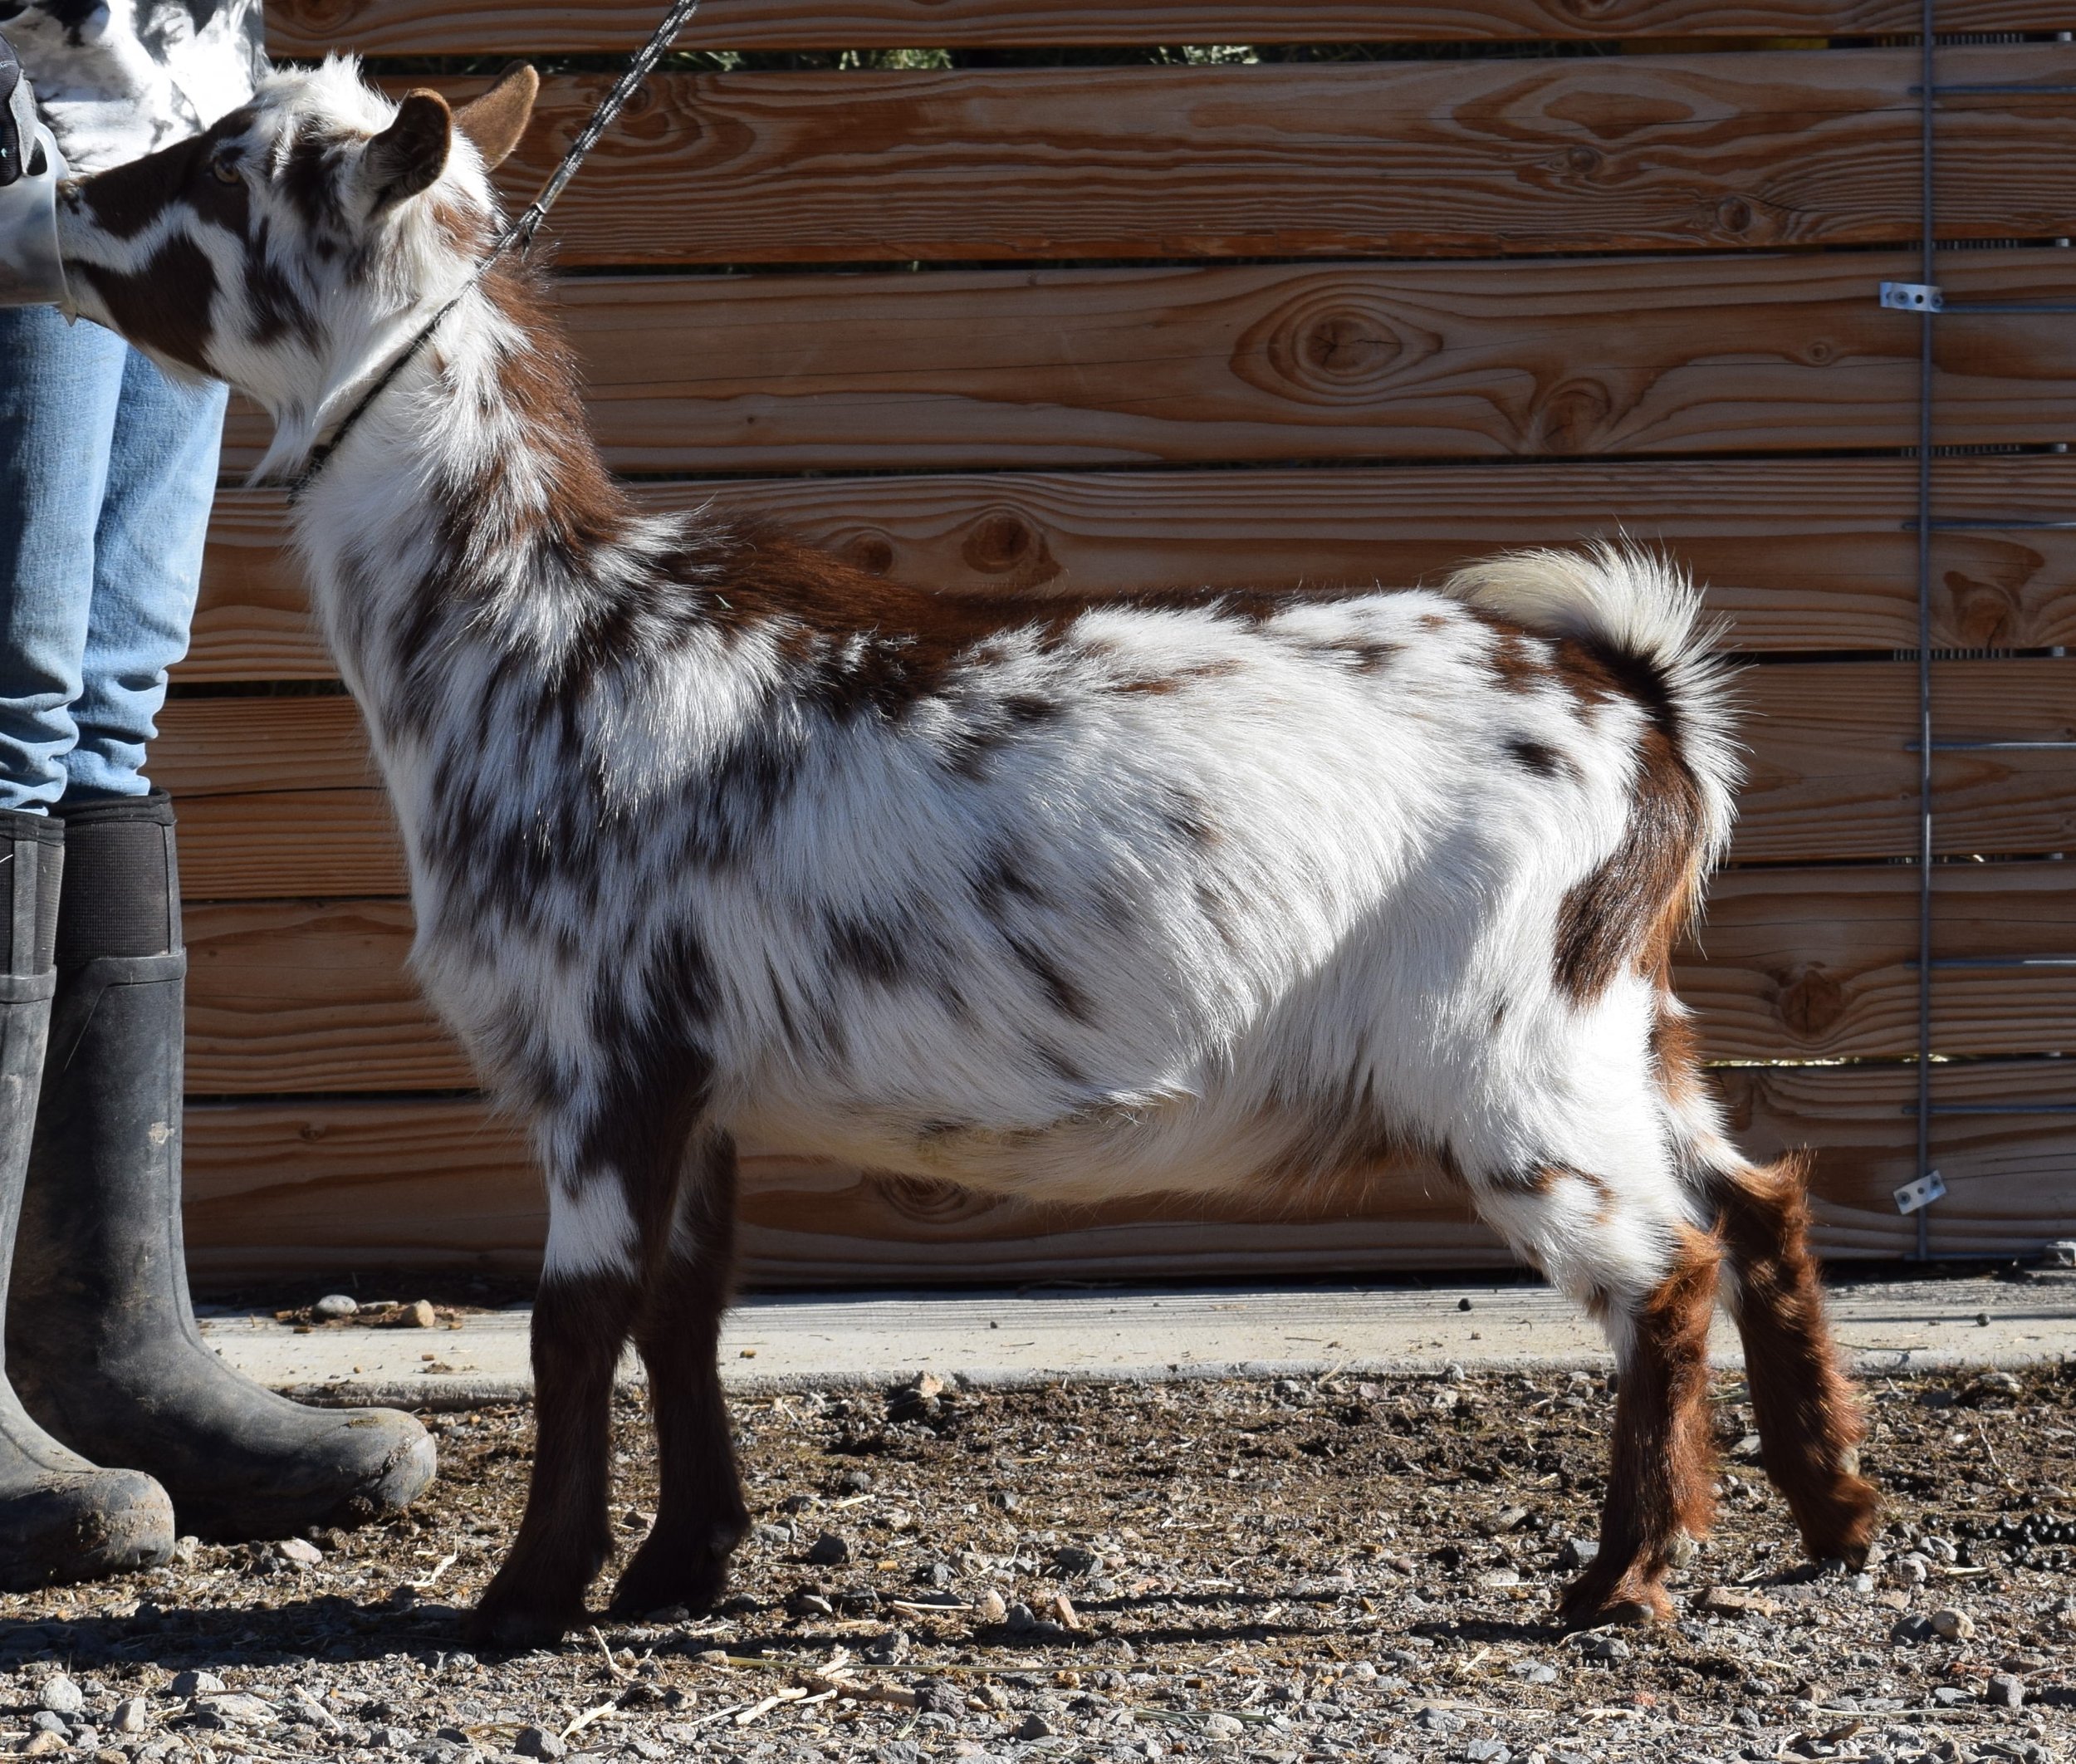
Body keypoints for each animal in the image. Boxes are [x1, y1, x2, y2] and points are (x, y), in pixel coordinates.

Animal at [61, 58, 1885, 1652]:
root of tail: (1637, 704)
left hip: (1498, 1047)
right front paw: (678, 1567)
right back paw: (1834, 1513)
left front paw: (526, 1594)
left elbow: (577, 1319)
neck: (541, 626)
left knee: (1664, 1265)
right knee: (1757, 1194)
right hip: (1613, 1015)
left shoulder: (604, 1049)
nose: (62, 196)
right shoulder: (699, 1078)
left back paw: (1625, 1577)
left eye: (220, 169)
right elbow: (684, 1303)